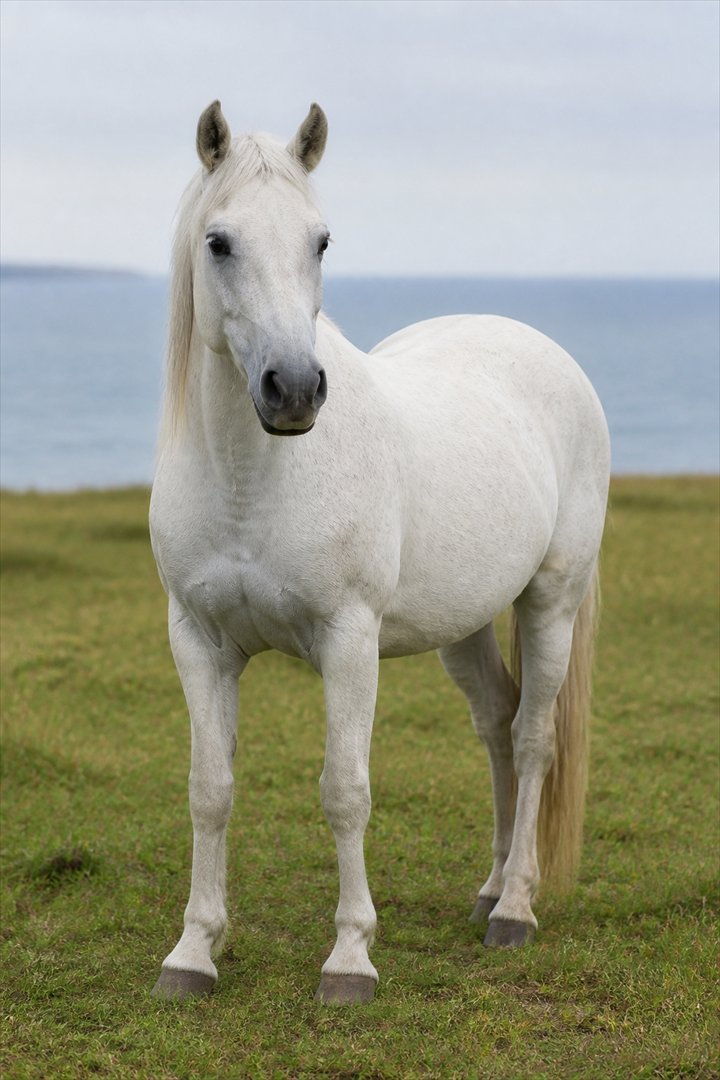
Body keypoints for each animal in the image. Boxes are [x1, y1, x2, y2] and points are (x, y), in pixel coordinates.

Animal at [149, 101, 610, 1005]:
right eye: (219, 241)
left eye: (321, 240)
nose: (293, 390)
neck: (253, 481)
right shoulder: (200, 642)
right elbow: (209, 791)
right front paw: (192, 952)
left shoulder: (348, 640)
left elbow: (345, 791)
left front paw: (351, 958)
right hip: (464, 623)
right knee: (497, 723)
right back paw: (490, 889)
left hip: (551, 600)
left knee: (534, 736)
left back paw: (517, 910)